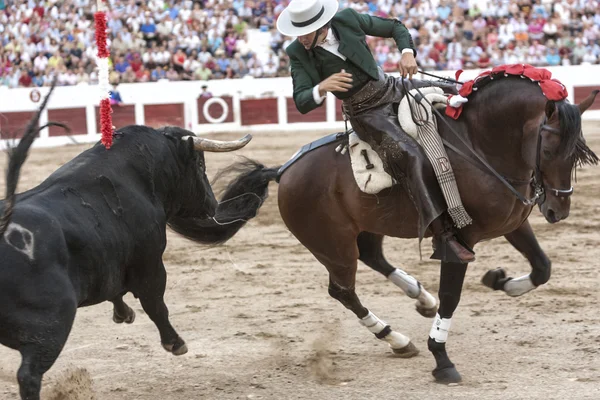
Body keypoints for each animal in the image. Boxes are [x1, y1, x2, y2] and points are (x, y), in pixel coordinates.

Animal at [0, 86, 276, 398]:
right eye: (199, 163)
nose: (212, 204)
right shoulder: (151, 263)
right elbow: (155, 304)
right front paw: (175, 343)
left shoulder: (110, 260)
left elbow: (116, 289)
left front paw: (124, 314)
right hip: (51, 325)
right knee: (29, 375)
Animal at [226, 76, 600, 384]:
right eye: (548, 150)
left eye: (579, 152)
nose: (557, 211)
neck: (479, 144)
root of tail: (283, 171)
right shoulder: (459, 241)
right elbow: (452, 296)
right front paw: (442, 360)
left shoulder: (514, 223)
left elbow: (542, 268)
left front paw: (500, 281)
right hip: (332, 246)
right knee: (343, 291)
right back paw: (396, 337)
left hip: (368, 226)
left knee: (373, 256)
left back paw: (420, 298)